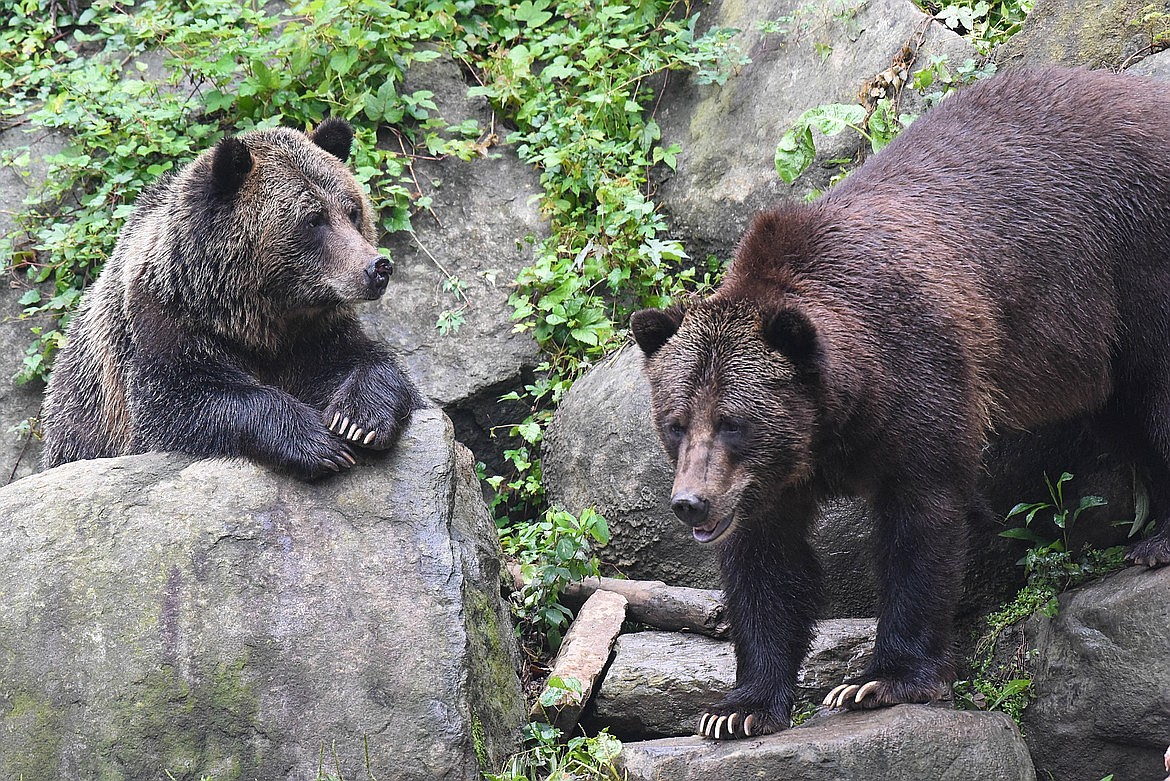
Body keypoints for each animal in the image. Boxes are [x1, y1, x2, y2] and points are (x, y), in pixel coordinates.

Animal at [40, 119, 425, 479]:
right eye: (313, 219)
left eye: (352, 211)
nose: (377, 267)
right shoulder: (161, 326)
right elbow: (179, 404)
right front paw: (317, 442)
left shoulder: (314, 336)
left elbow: (363, 362)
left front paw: (358, 420)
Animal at [631, 67, 1170, 738]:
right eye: (676, 424)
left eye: (734, 423)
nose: (691, 504)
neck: (837, 420)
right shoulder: (771, 483)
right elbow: (767, 562)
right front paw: (740, 707)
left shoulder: (923, 378)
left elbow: (921, 524)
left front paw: (877, 680)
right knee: (1125, 416)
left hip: (1135, 263)